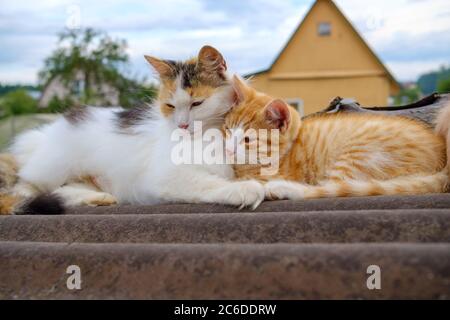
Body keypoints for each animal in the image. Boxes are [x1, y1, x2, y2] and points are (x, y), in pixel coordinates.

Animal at [5, 45, 264, 215]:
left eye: (197, 103)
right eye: (170, 106)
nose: (181, 125)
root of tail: (45, 134)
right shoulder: (165, 175)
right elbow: (208, 183)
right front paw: (244, 190)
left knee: (65, 191)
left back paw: (101, 197)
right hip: (52, 167)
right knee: (25, 187)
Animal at [223, 75, 448, 200]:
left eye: (248, 140)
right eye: (227, 129)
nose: (228, 150)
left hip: (358, 157)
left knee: (330, 188)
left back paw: (281, 189)